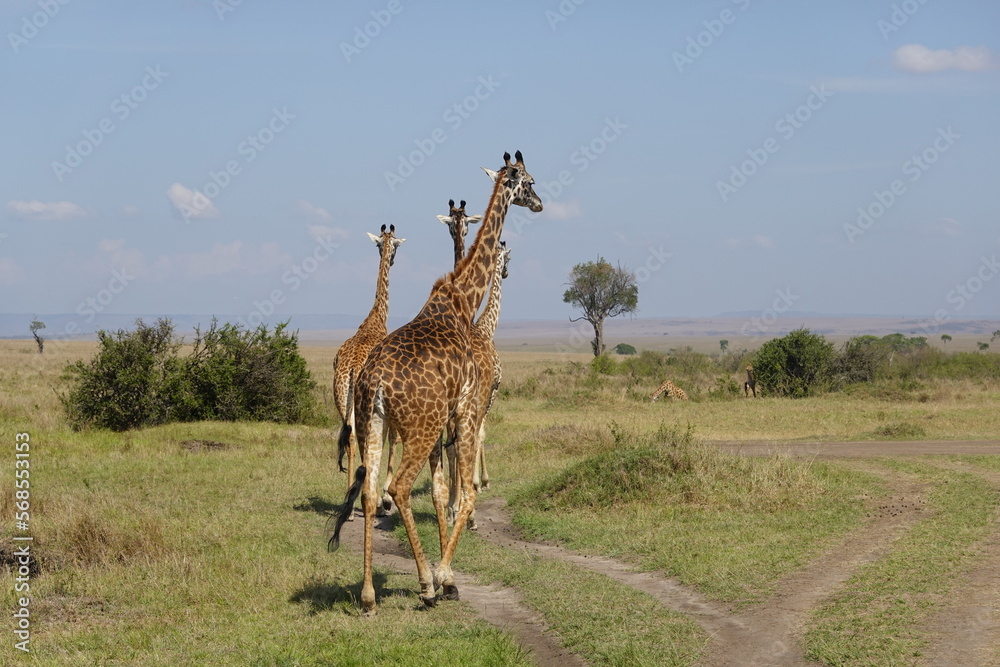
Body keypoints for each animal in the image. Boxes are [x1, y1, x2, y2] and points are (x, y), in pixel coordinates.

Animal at [331, 224, 405, 501]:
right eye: (395, 247)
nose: (391, 259)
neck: (377, 316)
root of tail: (352, 369)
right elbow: (392, 439)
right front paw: (385, 493)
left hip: (341, 397)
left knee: (350, 437)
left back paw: (349, 495)